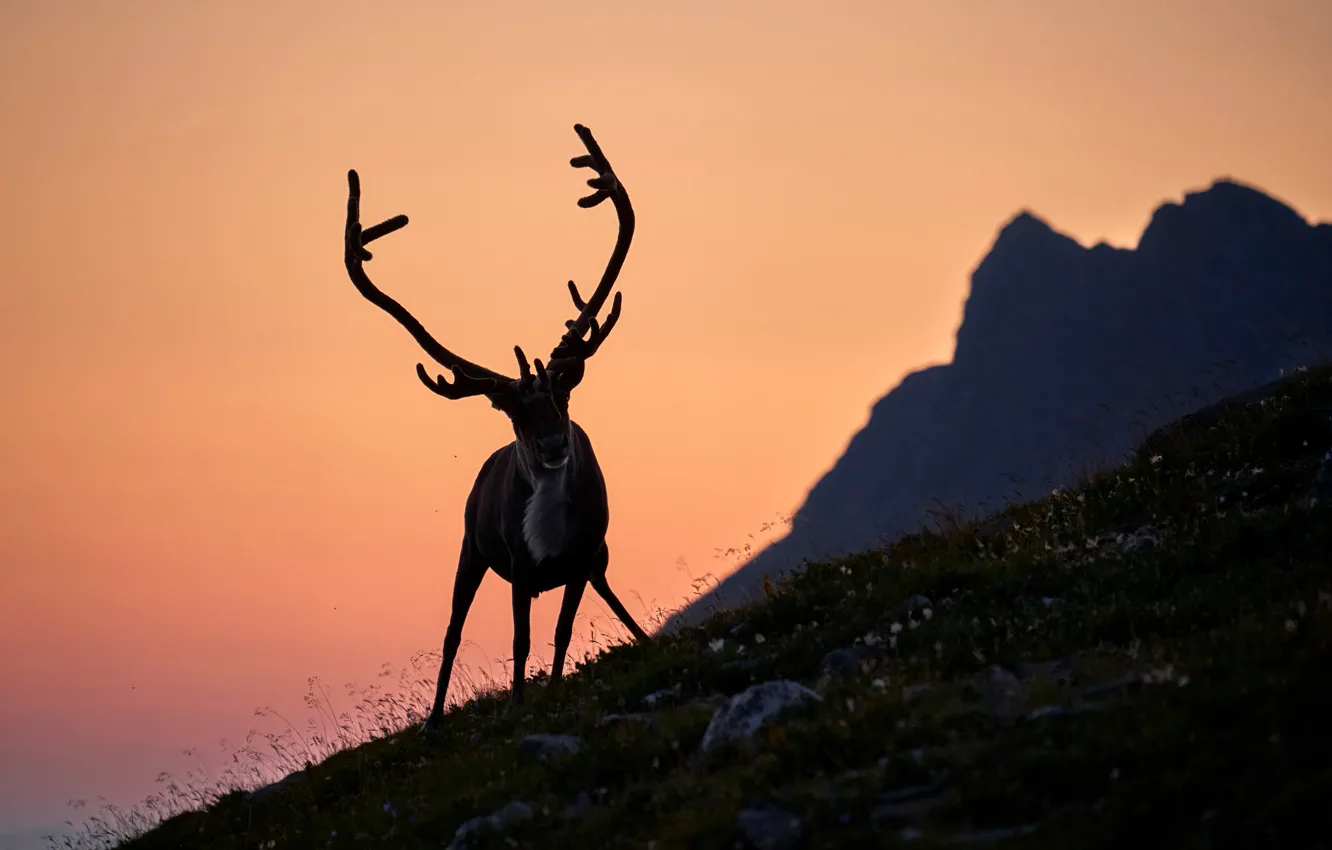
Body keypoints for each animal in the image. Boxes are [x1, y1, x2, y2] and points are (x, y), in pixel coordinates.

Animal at [342, 124, 652, 732]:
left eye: (563, 394)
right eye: (514, 412)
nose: (553, 444)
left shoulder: (584, 555)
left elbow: (561, 632)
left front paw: (552, 692)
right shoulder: (518, 565)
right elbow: (519, 641)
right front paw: (516, 705)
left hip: (594, 558)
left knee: (606, 594)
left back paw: (644, 639)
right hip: (470, 548)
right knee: (452, 631)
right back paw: (434, 721)